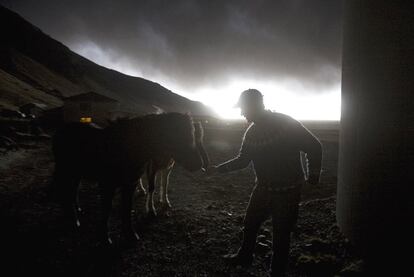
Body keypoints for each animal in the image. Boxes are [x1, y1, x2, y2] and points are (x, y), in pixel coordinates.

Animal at [50, 111, 209, 243]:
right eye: (177, 135)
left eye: (195, 136)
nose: (198, 164)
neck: (128, 147)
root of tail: (62, 129)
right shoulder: (107, 184)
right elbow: (107, 209)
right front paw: (105, 238)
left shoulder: (131, 184)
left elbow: (127, 208)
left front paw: (131, 234)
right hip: (65, 169)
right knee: (64, 189)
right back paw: (73, 218)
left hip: (76, 172)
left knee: (73, 189)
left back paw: (76, 210)